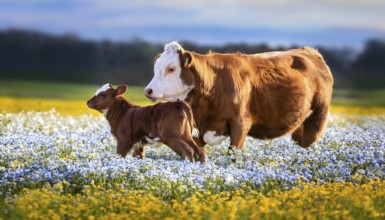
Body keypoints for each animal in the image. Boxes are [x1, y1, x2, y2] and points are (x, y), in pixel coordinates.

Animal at [144, 41, 332, 152]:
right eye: (155, 68)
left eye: (171, 68)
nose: (148, 90)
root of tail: (310, 52)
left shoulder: (240, 125)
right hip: (299, 125)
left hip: (317, 118)